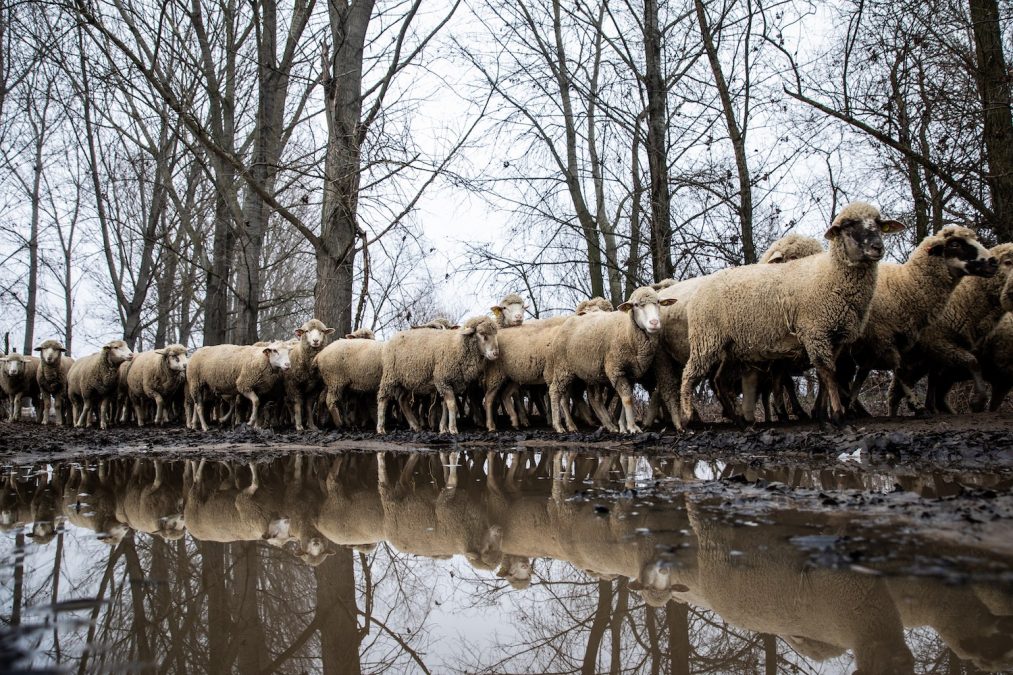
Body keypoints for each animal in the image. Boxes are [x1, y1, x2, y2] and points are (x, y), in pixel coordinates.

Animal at [551, 283, 676, 431]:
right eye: (636, 305)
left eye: (658, 302)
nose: (654, 323)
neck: (628, 332)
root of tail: (569, 320)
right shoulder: (616, 369)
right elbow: (627, 399)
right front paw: (632, 427)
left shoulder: (630, 373)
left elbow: (625, 399)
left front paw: (623, 426)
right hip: (562, 367)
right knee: (556, 392)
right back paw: (561, 425)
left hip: (590, 372)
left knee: (594, 399)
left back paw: (610, 425)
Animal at [680, 199, 903, 423]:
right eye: (848, 225)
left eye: (878, 223)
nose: (877, 247)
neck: (831, 274)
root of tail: (702, 286)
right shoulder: (815, 331)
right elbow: (827, 372)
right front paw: (836, 414)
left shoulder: (836, 336)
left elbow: (826, 374)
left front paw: (821, 412)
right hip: (706, 340)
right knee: (689, 375)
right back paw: (689, 417)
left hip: (730, 346)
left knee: (719, 380)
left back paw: (737, 417)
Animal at [838, 226, 996, 413]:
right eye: (955, 244)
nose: (993, 261)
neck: (905, 285)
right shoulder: (885, 336)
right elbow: (900, 370)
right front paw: (917, 405)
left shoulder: (887, 343)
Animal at [891, 240, 1013, 409]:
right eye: (1008, 262)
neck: (964, 299)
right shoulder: (939, 343)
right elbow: (973, 363)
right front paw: (978, 401)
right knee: (896, 391)